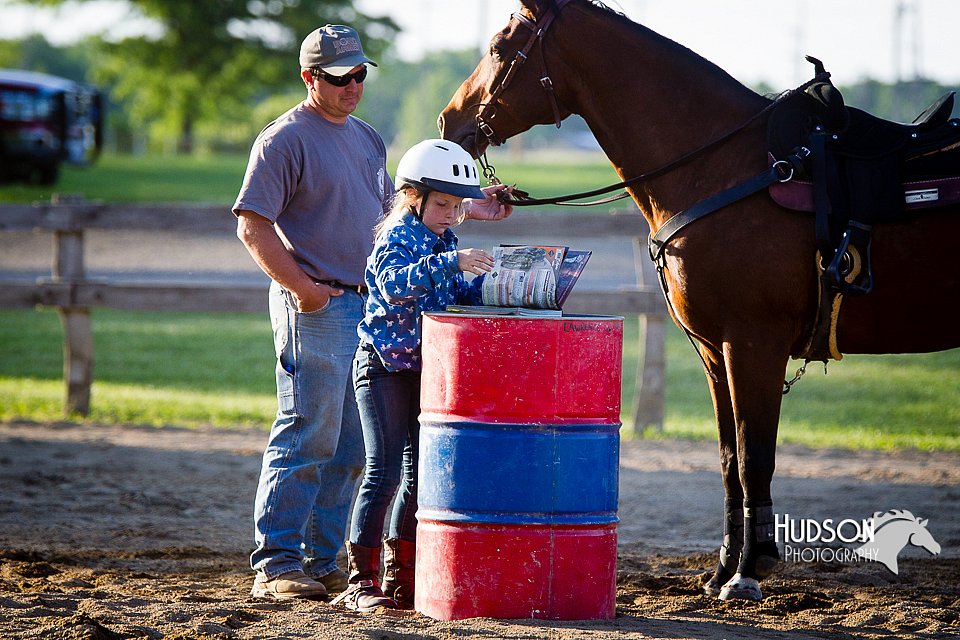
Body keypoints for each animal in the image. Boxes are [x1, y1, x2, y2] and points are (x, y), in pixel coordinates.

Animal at [440, 0, 960, 604]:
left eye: (500, 48)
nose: (449, 123)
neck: (727, 168)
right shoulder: (717, 353)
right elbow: (729, 458)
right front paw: (723, 567)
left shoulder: (754, 346)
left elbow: (755, 456)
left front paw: (750, 570)